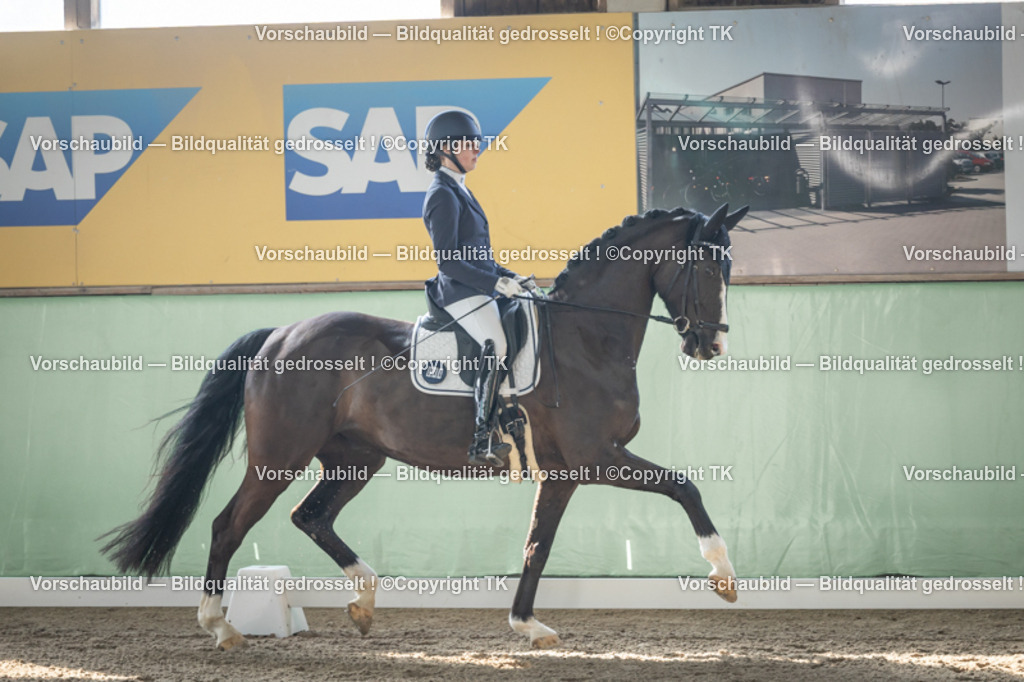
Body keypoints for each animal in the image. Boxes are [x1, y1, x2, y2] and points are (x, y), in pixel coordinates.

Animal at [101, 203, 748, 651]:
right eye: (705, 265)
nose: (711, 344)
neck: (585, 338)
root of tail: (280, 335)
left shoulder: (564, 472)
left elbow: (537, 546)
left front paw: (527, 625)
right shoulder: (596, 455)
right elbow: (685, 485)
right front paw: (723, 575)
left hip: (356, 458)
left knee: (310, 516)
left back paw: (363, 601)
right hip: (279, 456)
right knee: (227, 526)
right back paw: (221, 627)